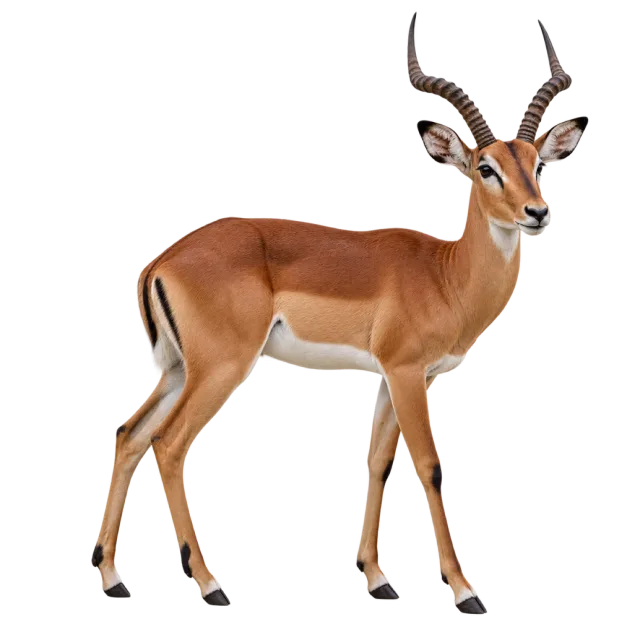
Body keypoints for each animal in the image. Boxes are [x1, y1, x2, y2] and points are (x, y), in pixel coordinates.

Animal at [92, 14, 588, 613]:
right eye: (485, 168)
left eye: (538, 164)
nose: (537, 211)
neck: (445, 274)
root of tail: (164, 258)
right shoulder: (405, 374)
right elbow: (429, 467)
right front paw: (465, 589)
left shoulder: (395, 379)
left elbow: (377, 464)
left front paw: (377, 579)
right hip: (221, 368)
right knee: (168, 444)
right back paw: (210, 585)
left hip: (175, 368)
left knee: (128, 435)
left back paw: (112, 578)